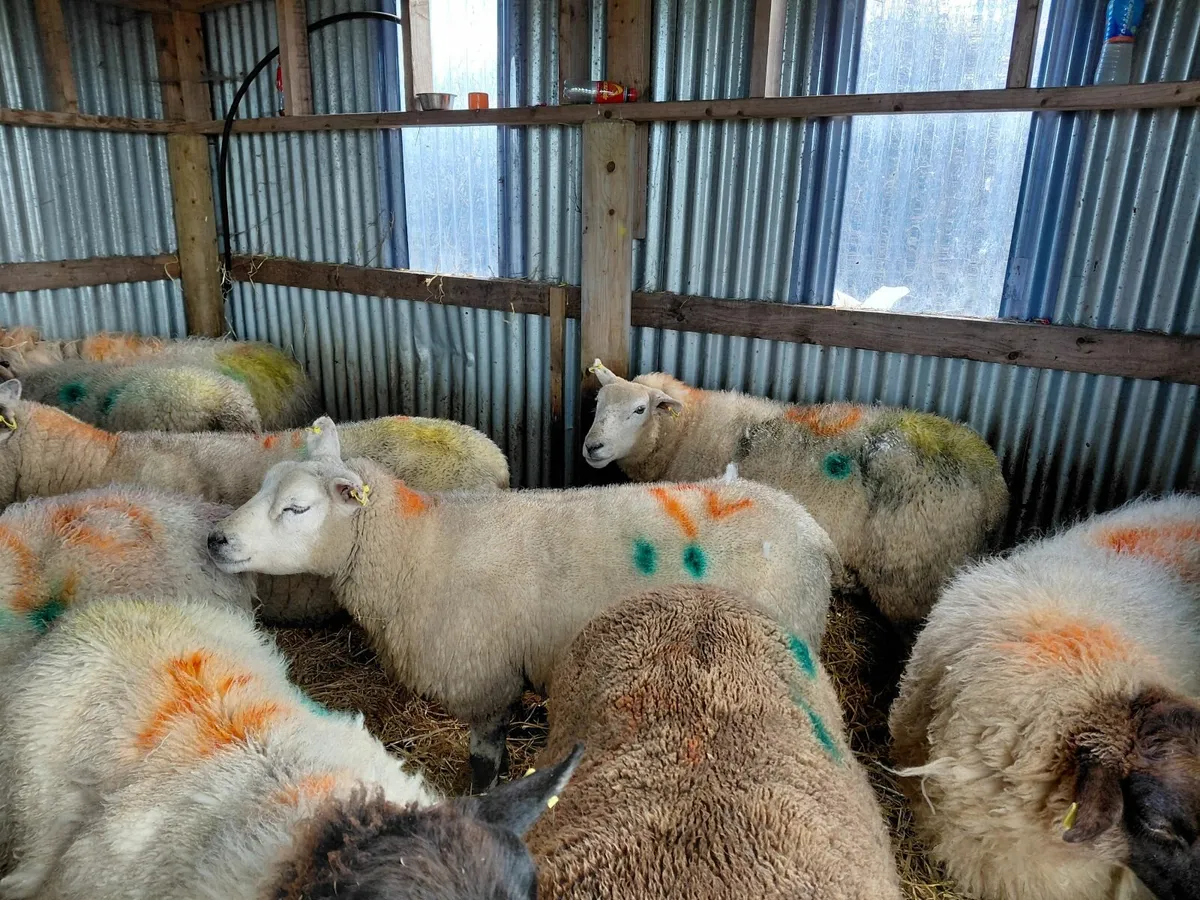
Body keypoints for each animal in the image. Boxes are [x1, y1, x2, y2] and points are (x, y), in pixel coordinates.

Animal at [207, 415, 841, 793]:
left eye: (297, 509)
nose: (215, 539)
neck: (419, 547)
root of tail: (812, 527)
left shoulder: (484, 678)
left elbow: (484, 761)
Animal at [582, 359, 1009, 625]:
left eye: (639, 410)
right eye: (598, 403)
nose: (592, 447)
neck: (686, 431)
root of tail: (995, 485)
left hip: (912, 572)